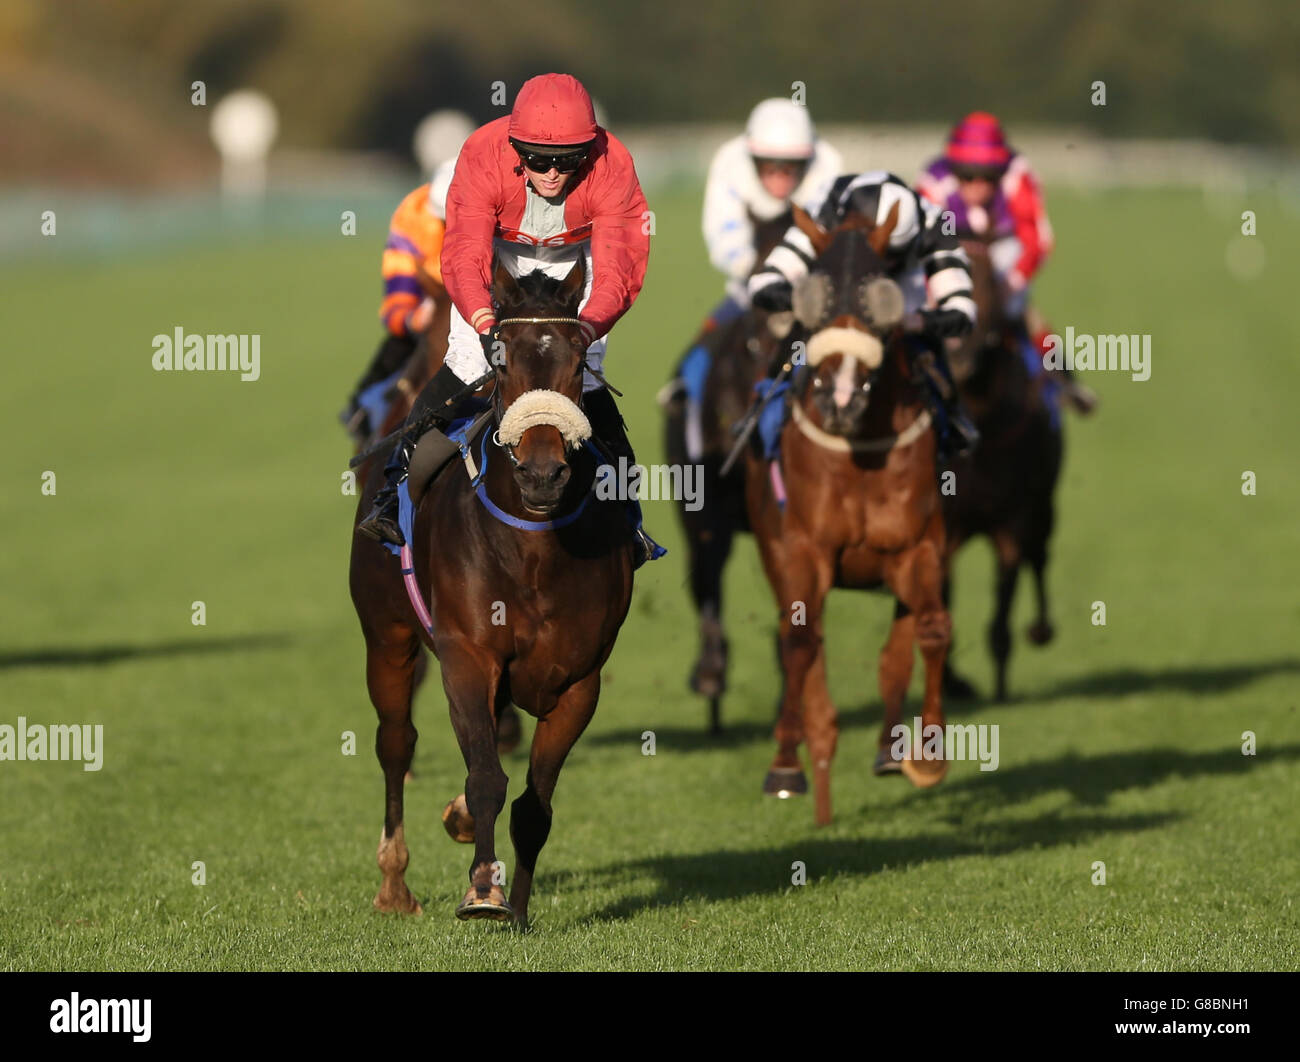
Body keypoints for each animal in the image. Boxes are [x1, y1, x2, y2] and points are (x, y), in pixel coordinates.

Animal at [345, 254, 634, 920]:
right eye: (501, 360)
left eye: (578, 363)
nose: (543, 473)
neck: (535, 548)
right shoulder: (467, 654)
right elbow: (485, 780)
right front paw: (483, 889)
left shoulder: (579, 680)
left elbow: (532, 803)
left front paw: (519, 909)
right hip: (387, 637)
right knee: (396, 743)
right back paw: (394, 883)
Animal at [748, 202, 951, 826]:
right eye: (814, 294)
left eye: (879, 295)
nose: (839, 395)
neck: (860, 447)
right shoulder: (802, 552)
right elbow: (799, 644)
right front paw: (786, 766)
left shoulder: (918, 546)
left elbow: (930, 632)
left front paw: (927, 757)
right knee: (804, 643)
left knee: (895, 650)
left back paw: (888, 752)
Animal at [941, 236, 1060, 701]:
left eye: (989, 283)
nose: (958, 359)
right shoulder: (946, 529)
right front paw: (953, 683)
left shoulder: (1013, 523)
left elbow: (1001, 623)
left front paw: (1000, 694)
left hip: (1044, 508)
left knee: (1040, 557)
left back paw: (1042, 629)